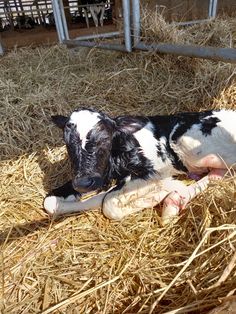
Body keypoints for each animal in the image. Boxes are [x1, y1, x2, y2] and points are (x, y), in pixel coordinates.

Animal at [43, 108, 236, 223]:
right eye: (67, 143)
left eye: (105, 139)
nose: (83, 183)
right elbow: (49, 202)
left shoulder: (152, 172)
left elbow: (108, 203)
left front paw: (158, 193)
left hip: (190, 145)